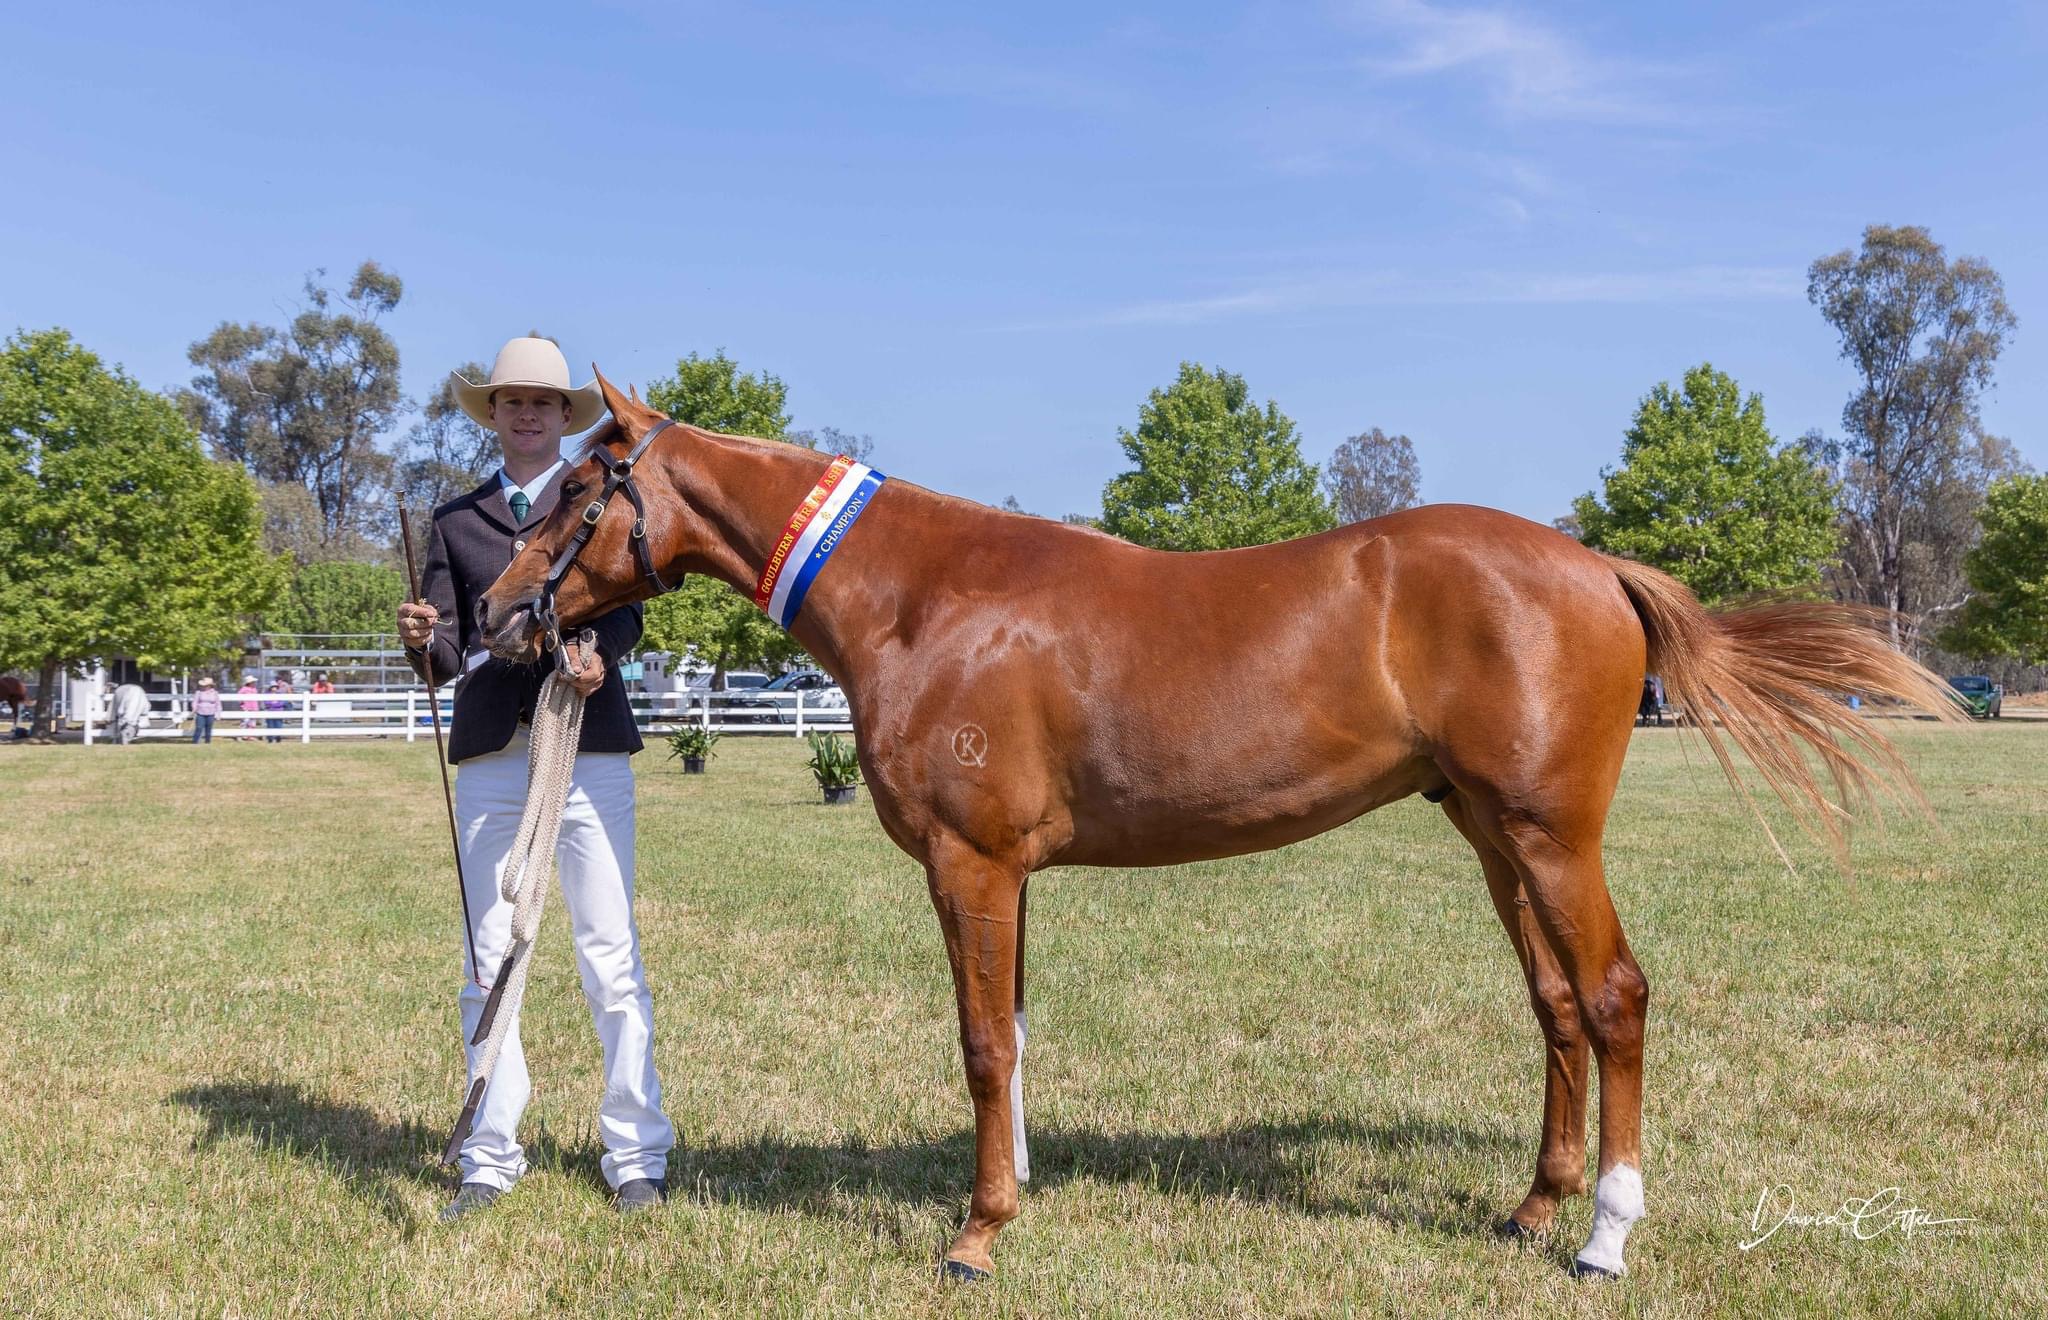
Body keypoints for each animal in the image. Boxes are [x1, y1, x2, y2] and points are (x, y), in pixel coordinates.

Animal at [476, 373, 1960, 1282]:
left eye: (575, 495)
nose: (491, 613)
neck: (922, 597)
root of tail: (1592, 565)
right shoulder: (1014, 876)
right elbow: (1014, 1035)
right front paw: (1016, 1195)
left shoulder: (972, 865)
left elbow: (979, 1045)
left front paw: (977, 1234)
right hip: (1491, 839)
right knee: (1552, 1007)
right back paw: (1530, 1206)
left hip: (1551, 838)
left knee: (1612, 999)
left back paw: (1602, 1236)